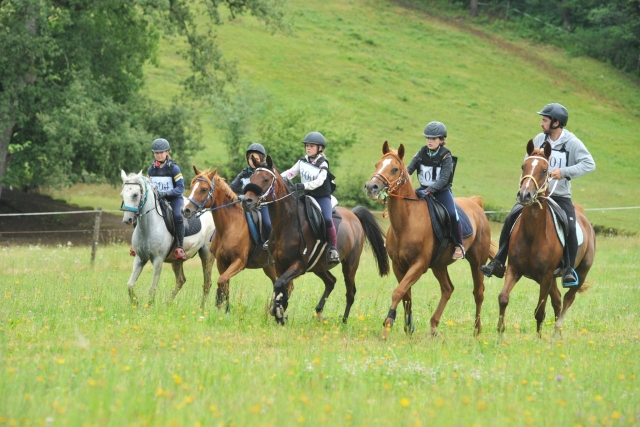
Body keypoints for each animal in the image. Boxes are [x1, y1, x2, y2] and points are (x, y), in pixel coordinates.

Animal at [120, 170, 216, 307]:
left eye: (135, 194)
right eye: (122, 194)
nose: (127, 219)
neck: (149, 226)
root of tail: (207, 212)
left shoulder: (158, 260)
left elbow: (152, 288)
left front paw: (148, 307)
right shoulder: (140, 258)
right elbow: (130, 285)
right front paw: (136, 303)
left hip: (207, 255)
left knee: (207, 283)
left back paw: (201, 308)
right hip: (177, 260)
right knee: (181, 280)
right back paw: (167, 304)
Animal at [182, 166, 278, 312]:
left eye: (203, 189)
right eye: (192, 186)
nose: (185, 210)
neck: (230, 226)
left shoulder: (239, 262)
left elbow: (221, 281)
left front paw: (220, 303)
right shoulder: (222, 262)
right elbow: (225, 285)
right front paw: (225, 309)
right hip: (269, 267)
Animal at [241, 155, 389, 324]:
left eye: (266, 179)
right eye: (252, 177)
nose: (246, 201)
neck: (287, 222)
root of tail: (354, 216)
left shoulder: (298, 265)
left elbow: (280, 285)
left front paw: (279, 312)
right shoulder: (279, 265)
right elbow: (282, 288)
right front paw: (280, 312)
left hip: (350, 264)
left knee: (350, 292)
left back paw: (344, 321)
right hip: (319, 266)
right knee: (331, 281)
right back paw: (319, 311)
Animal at [364, 141, 496, 336]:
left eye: (395, 169)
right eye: (377, 164)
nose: (371, 187)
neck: (406, 223)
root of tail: (475, 204)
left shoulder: (419, 265)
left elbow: (398, 292)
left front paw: (388, 326)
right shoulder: (398, 265)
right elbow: (406, 296)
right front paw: (408, 327)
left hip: (476, 261)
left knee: (478, 292)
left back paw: (476, 330)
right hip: (439, 265)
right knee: (448, 288)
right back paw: (433, 326)